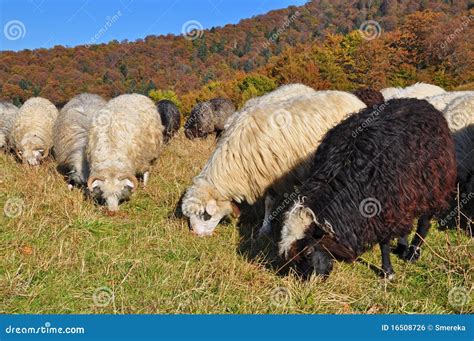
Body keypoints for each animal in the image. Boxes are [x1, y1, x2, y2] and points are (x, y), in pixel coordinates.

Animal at [181, 89, 366, 235]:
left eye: (205, 215)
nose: (195, 234)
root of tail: (353, 98)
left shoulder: (273, 174)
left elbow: (269, 203)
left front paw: (265, 228)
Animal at [280, 97, 458, 278]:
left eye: (309, 252)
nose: (310, 281)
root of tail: (419, 102)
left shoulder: (383, 207)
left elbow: (384, 242)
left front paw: (387, 272)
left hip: (434, 183)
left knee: (424, 221)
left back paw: (413, 253)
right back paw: (402, 247)